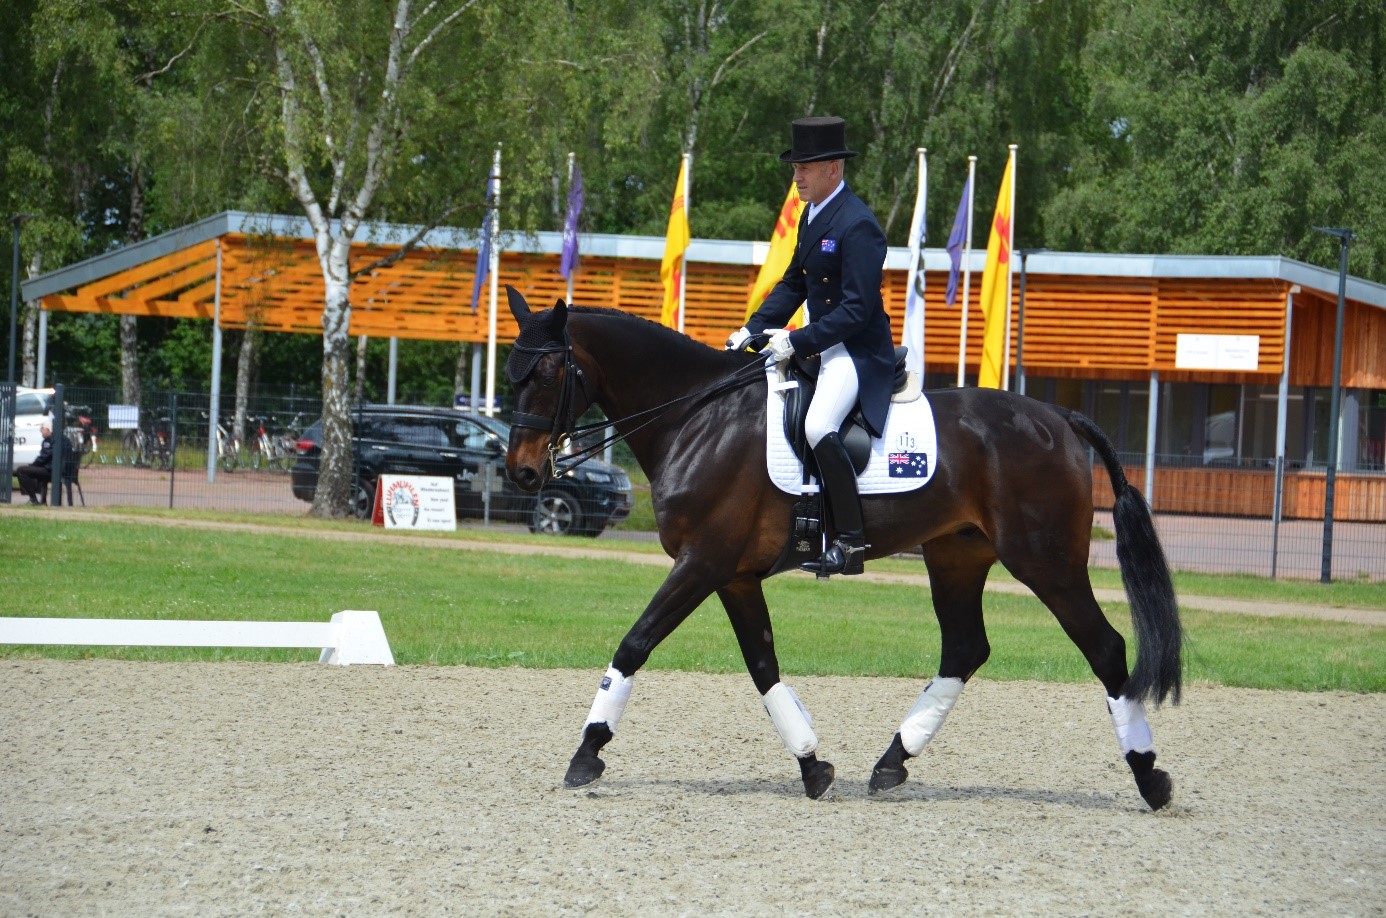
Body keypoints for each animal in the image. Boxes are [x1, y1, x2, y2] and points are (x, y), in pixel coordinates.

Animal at [498, 288, 1180, 815]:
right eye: (510, 371)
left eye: (550, 374)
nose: (524, 474)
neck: (696, 419)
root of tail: (1059, 419)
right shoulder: (734, 576)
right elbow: (764, 667)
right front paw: (813, 766)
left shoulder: (702, 564)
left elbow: (634, 645)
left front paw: (586, 753)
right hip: (956, 557)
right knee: (964, 649)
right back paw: (892, 762)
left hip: (1046, 563)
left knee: (1105, 648)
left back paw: (1150, 776)